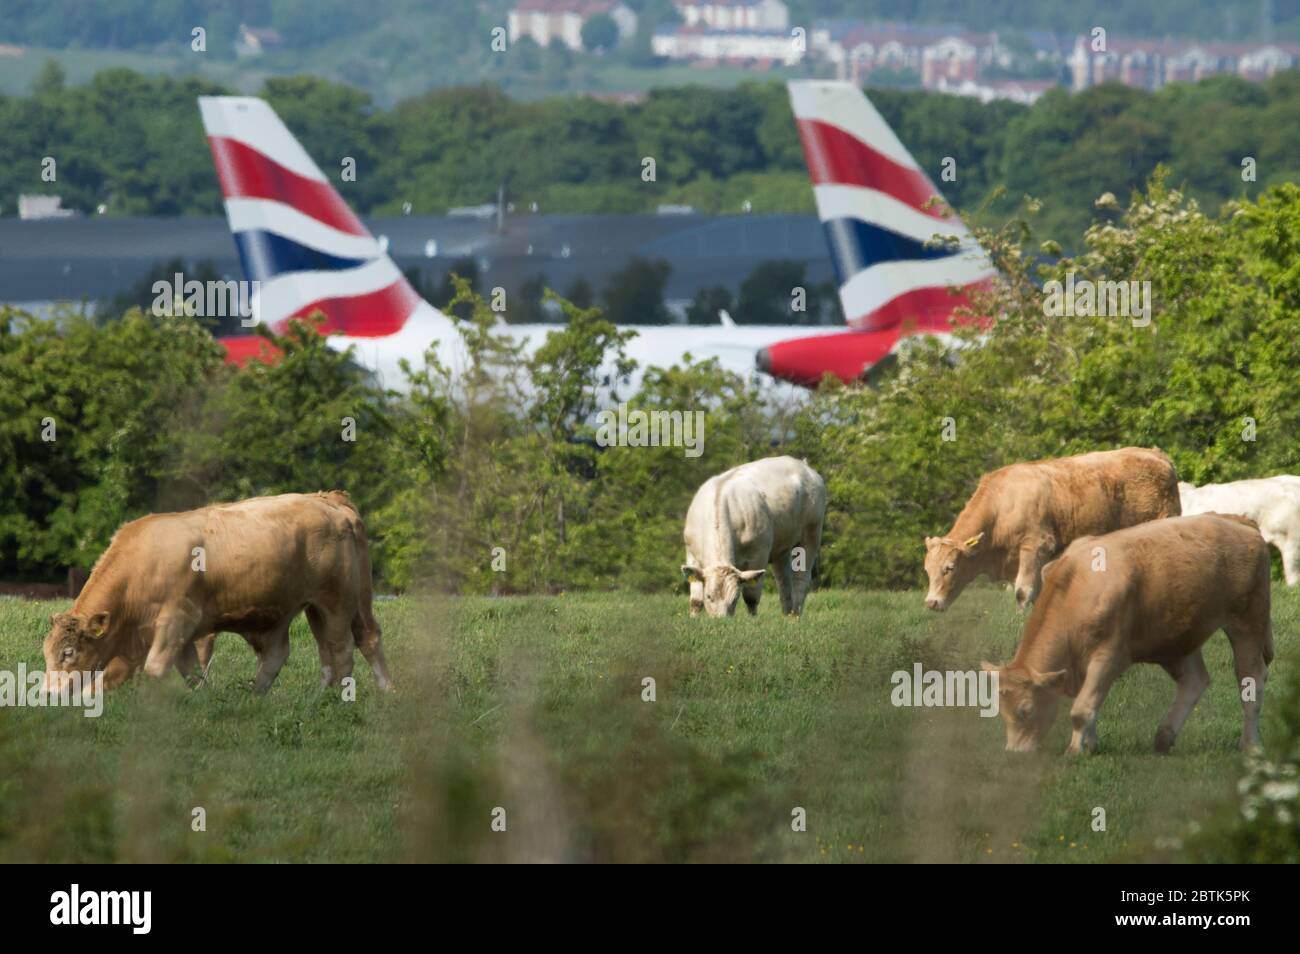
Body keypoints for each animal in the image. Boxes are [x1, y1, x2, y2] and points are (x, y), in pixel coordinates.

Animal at [41, 493, 390, 696]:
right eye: (46, 653)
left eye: (68, 652)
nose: (45, 693)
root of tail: (328, 499)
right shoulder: (177, 634)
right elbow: (192, 672)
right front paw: (204, 699)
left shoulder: (177, 620)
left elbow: (156, 669)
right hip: (311, 606)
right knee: (306, 653)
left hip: (337, 601)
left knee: (345, 649)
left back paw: (340, 699)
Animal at [681, 457, 821, 621]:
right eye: (709, 596)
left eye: (734, 599)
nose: (721, 621)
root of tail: (802, 464)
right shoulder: (691, 555)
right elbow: (695, 599)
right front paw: (693, 619)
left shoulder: (758, 555)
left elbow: (751, 597)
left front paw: (752, 620)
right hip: (782, 548)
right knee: (783, 581)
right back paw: (787, 615)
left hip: (812, 534)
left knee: (801, 579)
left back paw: (795, 617)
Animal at [920, 447, 1185, 613]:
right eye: (927, 570)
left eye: (949, 568)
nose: (931, 603)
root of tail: (1156, 455)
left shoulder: (1035, 546)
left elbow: (1023, 591)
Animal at [982, 519, 1268, 759]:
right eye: (1002, 710)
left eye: (1026, 710)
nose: (1014, 752)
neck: (1075, 587)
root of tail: (1244, 526)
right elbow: (1092, 702)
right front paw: (1090, 744)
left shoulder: (1109, 656)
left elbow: (1082, 707)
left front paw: (1075, 750)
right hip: (1176, 638)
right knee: (1194, 681)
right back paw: (1164, 737)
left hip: (1248, 622)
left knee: (1250, 679)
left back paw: (1250, 744)